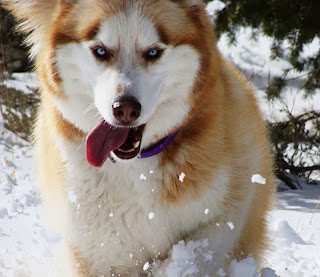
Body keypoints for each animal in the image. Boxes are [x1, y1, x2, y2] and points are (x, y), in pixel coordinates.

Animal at [3, 0, 276, 274]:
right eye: (100, 51)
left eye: (153, 52)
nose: (125, 109)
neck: (136, 167)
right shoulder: (98, 248)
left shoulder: (223, 218)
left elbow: (189, 258)